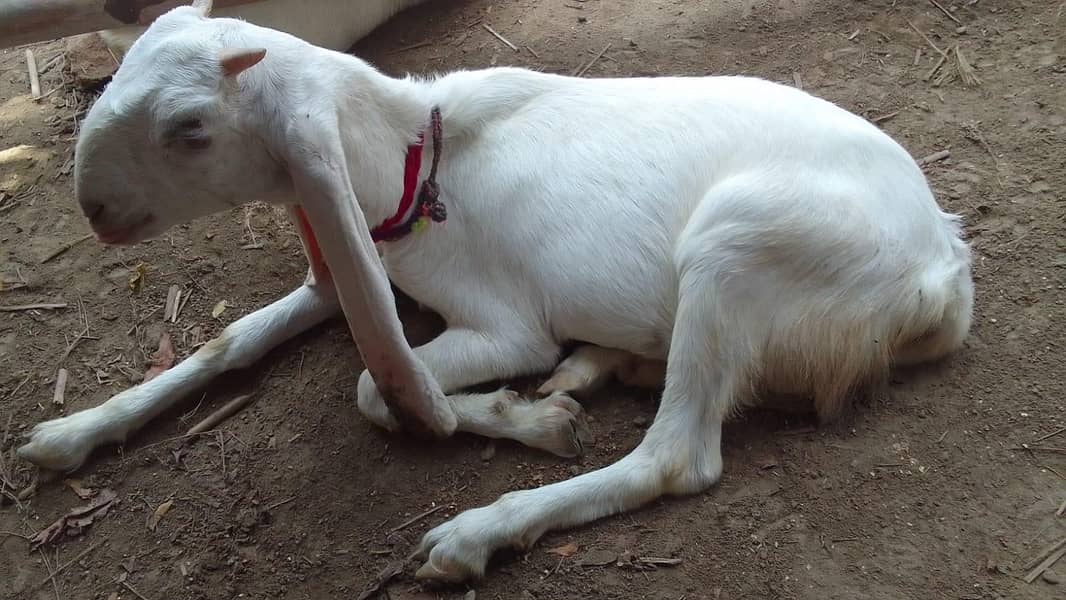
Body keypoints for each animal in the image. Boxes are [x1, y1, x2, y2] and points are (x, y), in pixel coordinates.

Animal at [17, 0, 974, 583]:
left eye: (190, 128)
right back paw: (605, 366)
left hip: (735, 240)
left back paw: (480, 527)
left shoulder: (505, 330)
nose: (94, 210)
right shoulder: (358, 259)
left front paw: (530, 422)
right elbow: (235, 337)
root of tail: (944, 276)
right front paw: (69, 432)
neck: (411, 162)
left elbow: (376, 388)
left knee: (675, 458)